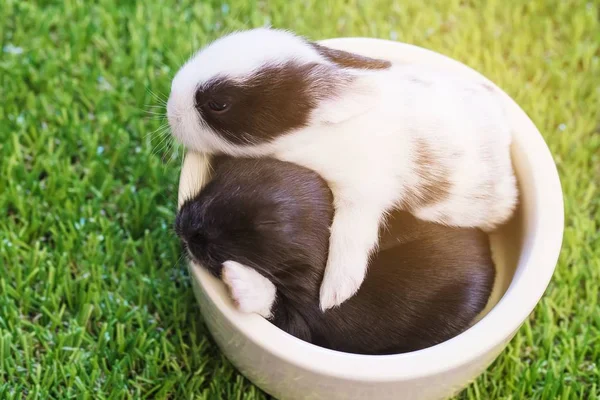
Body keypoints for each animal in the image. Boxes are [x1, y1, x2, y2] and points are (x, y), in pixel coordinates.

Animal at [168, 27, 516, 310]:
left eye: (218, 104)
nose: (171, 111)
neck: (312, 133)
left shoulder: (363, 194)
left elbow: (349, 237)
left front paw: (335, 292)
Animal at [176, 155, 494, 354]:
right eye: (218, 181)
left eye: (246, 235)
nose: (183, 227)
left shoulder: (307, 320)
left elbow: (282, 314)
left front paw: (241, 281)